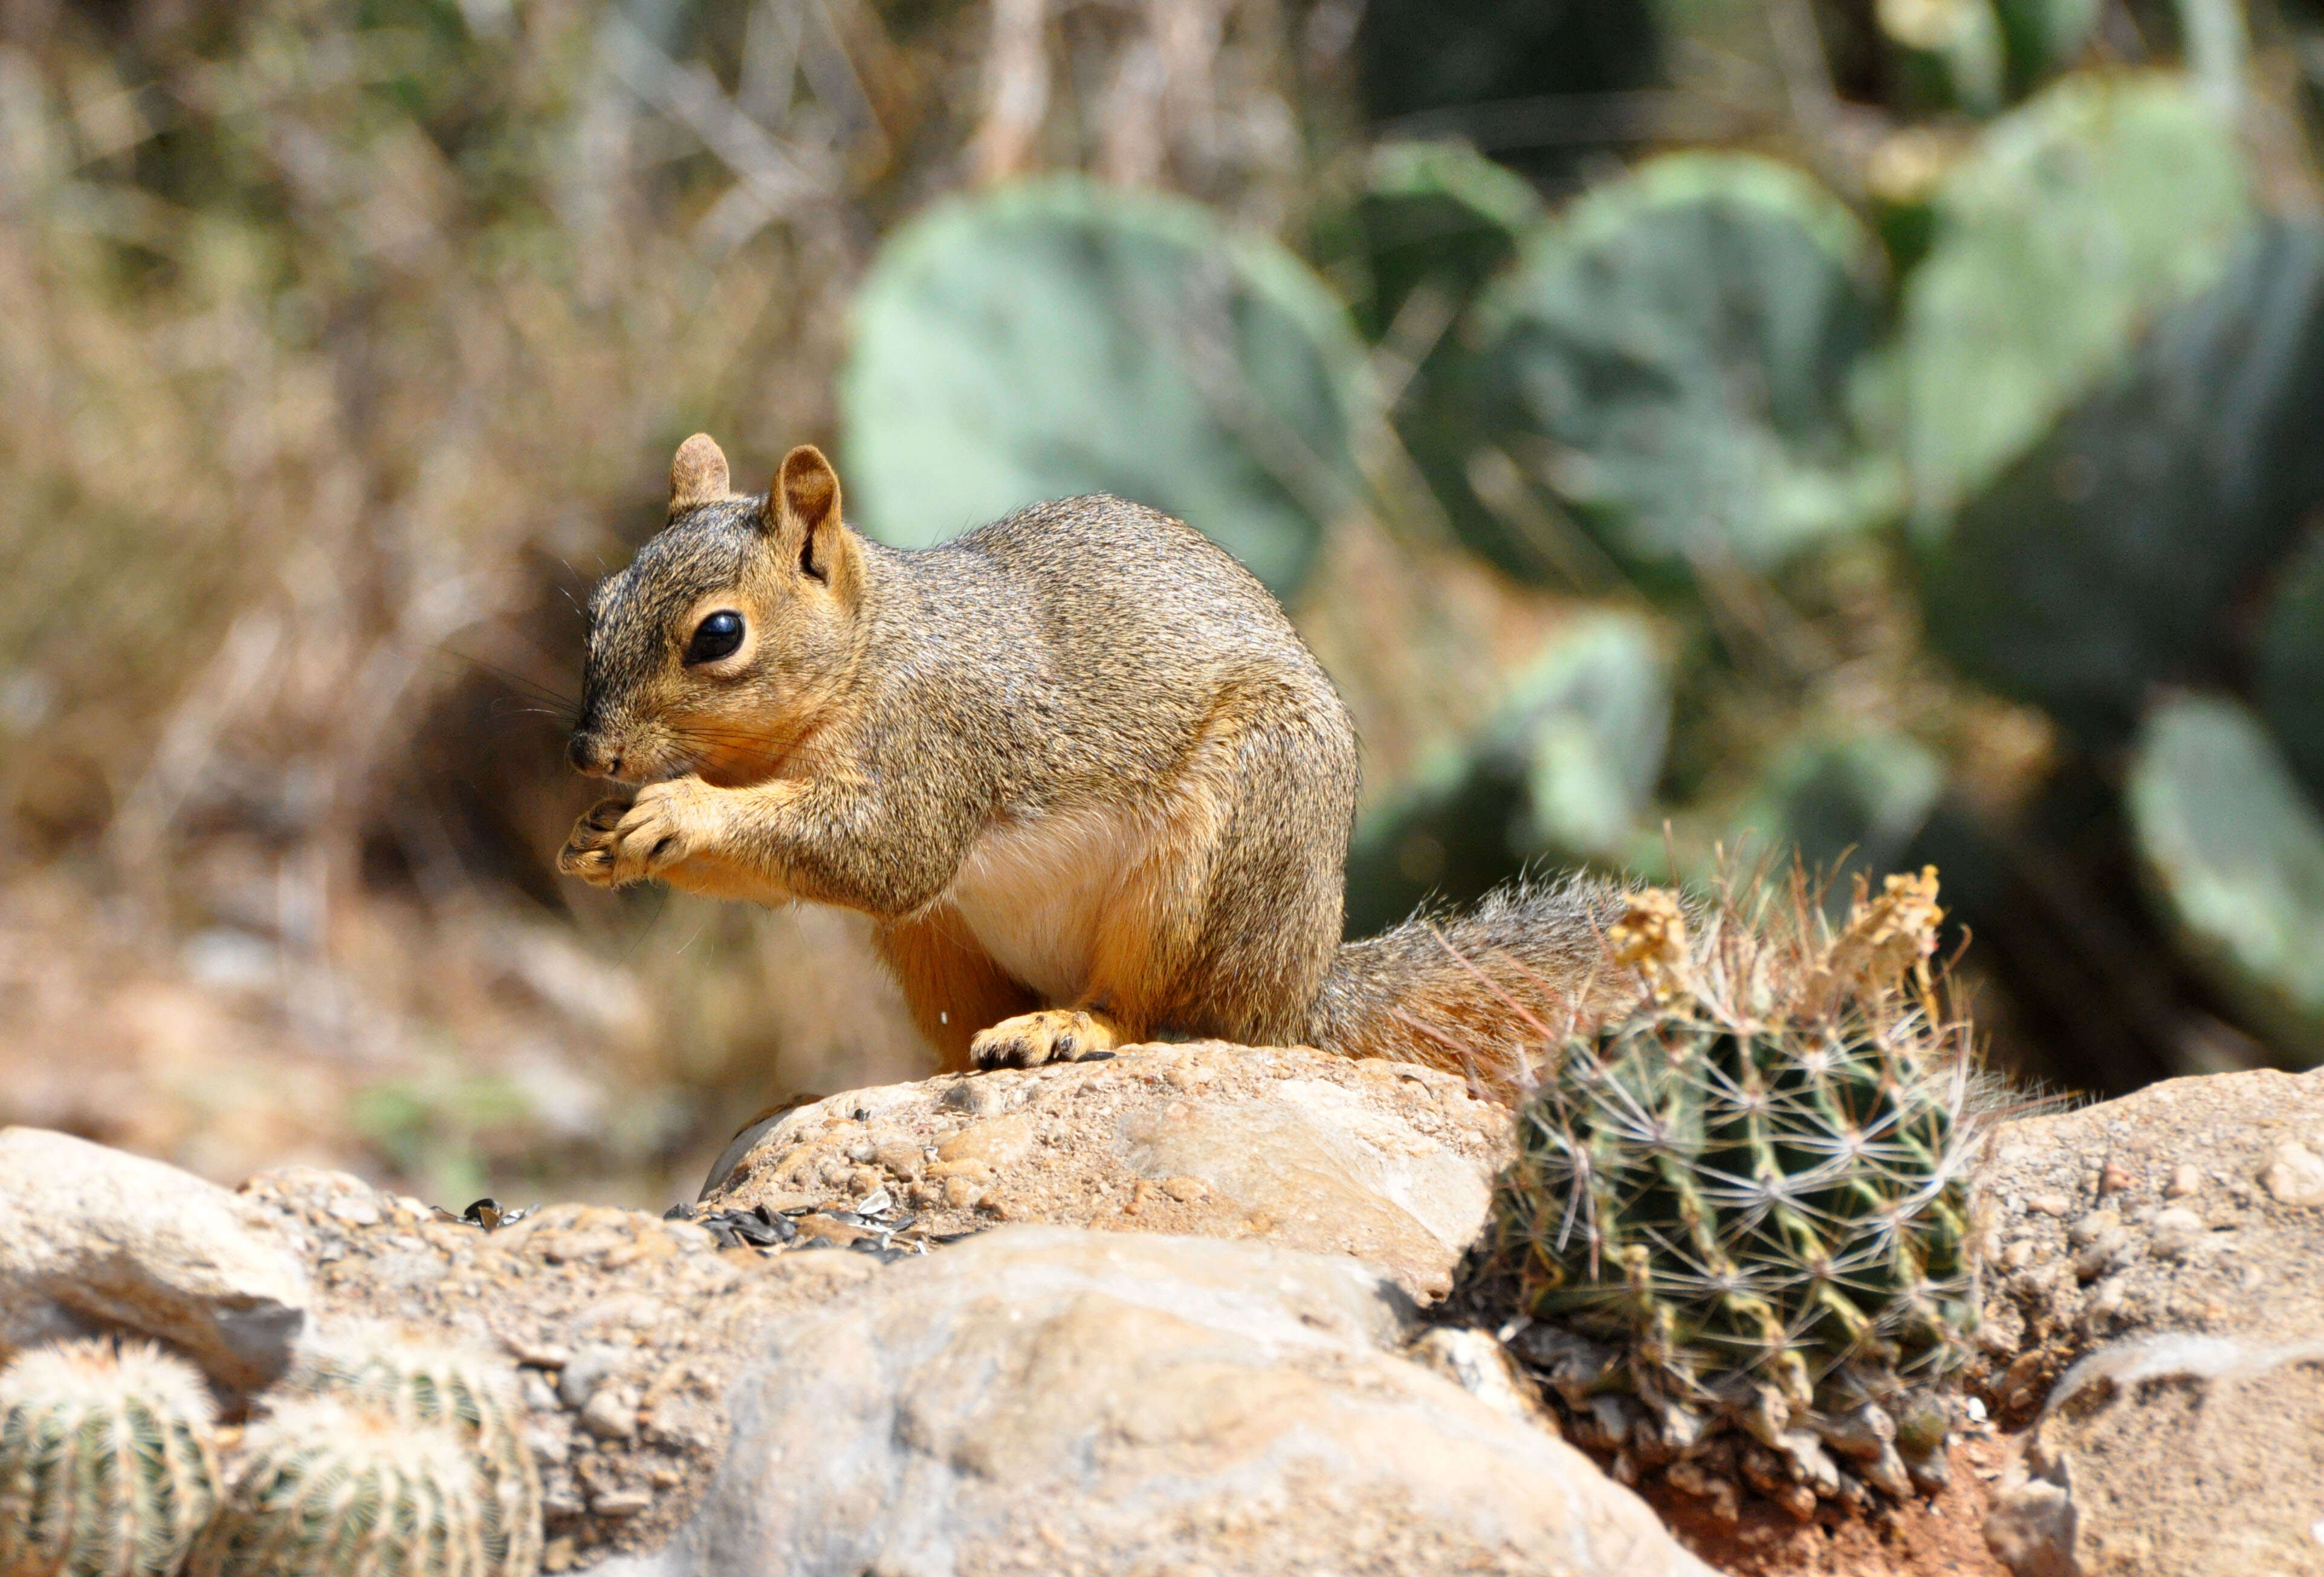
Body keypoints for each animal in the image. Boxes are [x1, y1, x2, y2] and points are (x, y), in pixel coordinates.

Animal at [557, 439, 1636, 1077]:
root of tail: (1304, 990)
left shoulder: (937, 741)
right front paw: (599, 839)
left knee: (1161, 1013)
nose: (588, 752)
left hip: (1217, 855)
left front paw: (677, 812)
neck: (869, 651)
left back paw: (1072, 1026)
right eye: (600, 605)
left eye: (720, 634)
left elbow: (888, 852)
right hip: (935, 949)